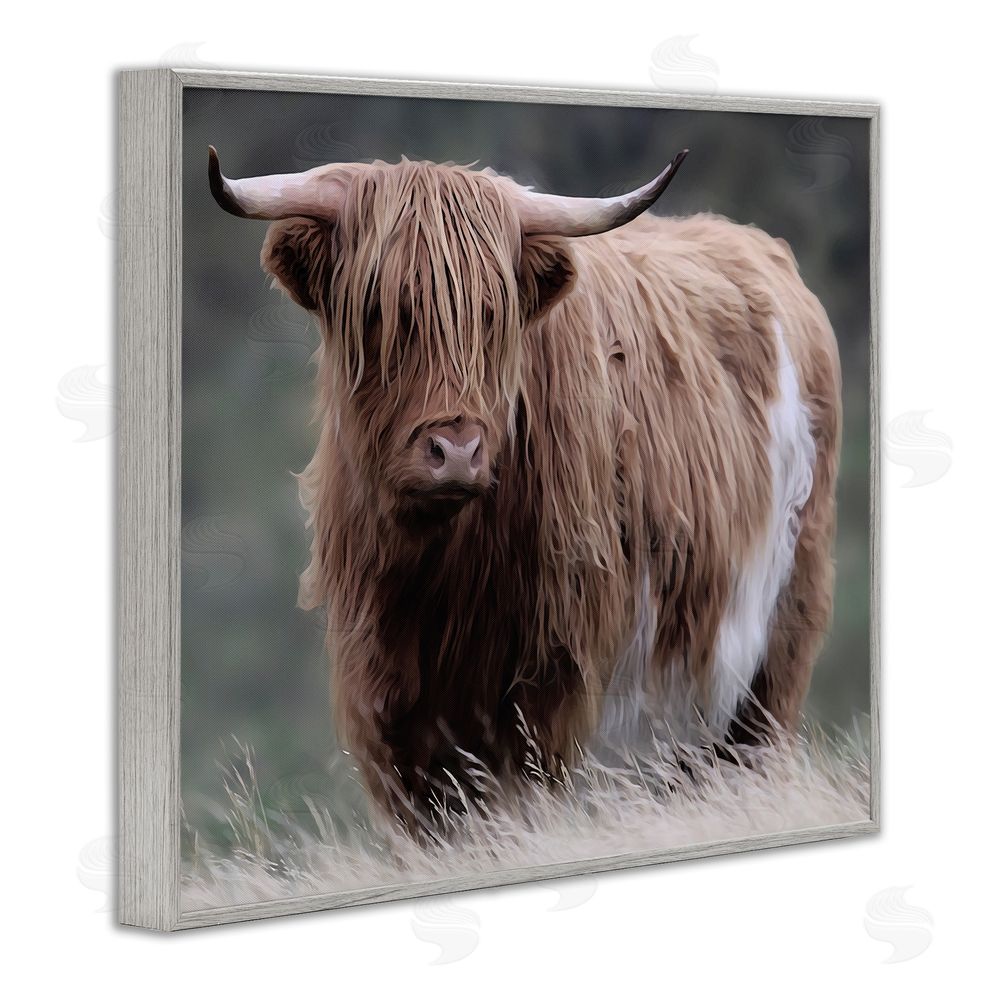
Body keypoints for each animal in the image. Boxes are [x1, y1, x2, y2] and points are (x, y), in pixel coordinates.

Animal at [208, 145, 842, 833]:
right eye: (380, 312)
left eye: (493, 314)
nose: (456, 451)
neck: (437, 580)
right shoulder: (386, 709)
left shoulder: (550, 690)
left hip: (772, 649)